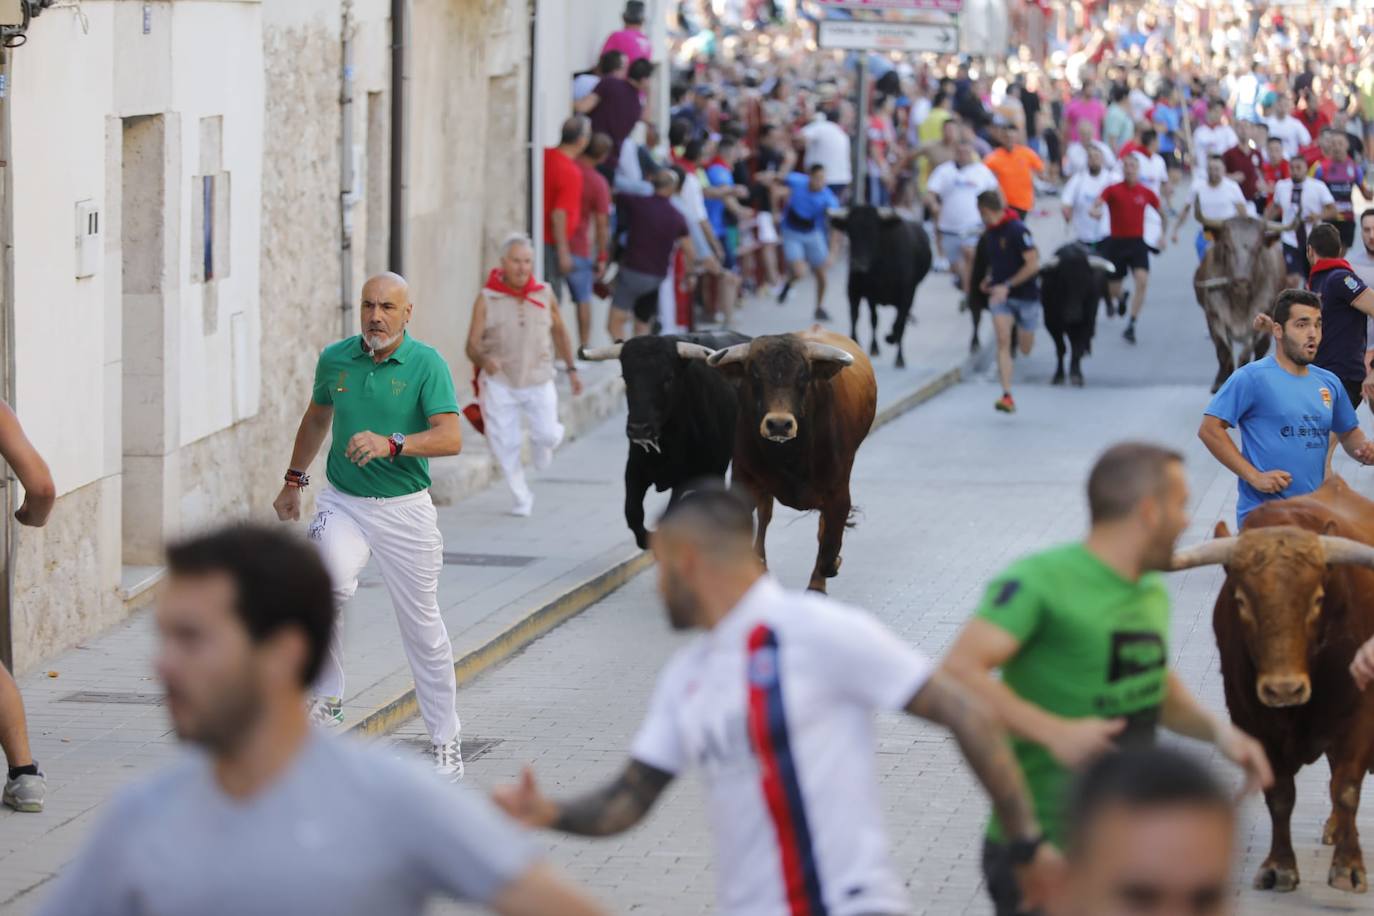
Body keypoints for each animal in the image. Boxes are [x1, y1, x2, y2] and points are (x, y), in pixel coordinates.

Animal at [579, 333, 752, 549]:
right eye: (625, 377)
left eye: (668, 378)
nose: (639, 429)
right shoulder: (634, 469)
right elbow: (632, 511)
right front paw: (646, 540)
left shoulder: (687, 479)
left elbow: (670, 514)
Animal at [708, 329, 879, 596]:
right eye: (755, 374)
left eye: (803, 376)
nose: (779, 424)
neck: (790, 455)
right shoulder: (743, 477)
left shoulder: (838, 493)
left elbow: (829, 545)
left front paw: (822, 578)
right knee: (765, 516)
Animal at [824, 204, 934, 368]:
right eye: (850, 231)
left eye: (873, 231)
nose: (857, 264)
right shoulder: (867, 295)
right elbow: (869, 319)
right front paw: (870, 347)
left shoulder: (907, 296)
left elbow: (899, 324)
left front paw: (898, 354)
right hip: (859, 294)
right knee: (861, 318)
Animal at [1170, 480, 1374, 895]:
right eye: (1240, 600)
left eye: (1317, 600)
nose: (1284, 690)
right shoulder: (1250, 718)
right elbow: (1279, 794)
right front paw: (1280, 866)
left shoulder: (1359, 712)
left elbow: (1346, 786)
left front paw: (1348, 866)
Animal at [1198, 219, 1280, 395]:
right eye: (1227, 246)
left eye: (1258, 248)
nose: (1241, 281)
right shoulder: (1214, 317)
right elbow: (1224, 352)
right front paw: (1221, 382)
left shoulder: (1259, 320)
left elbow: (1245, 354)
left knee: (1260, 350)